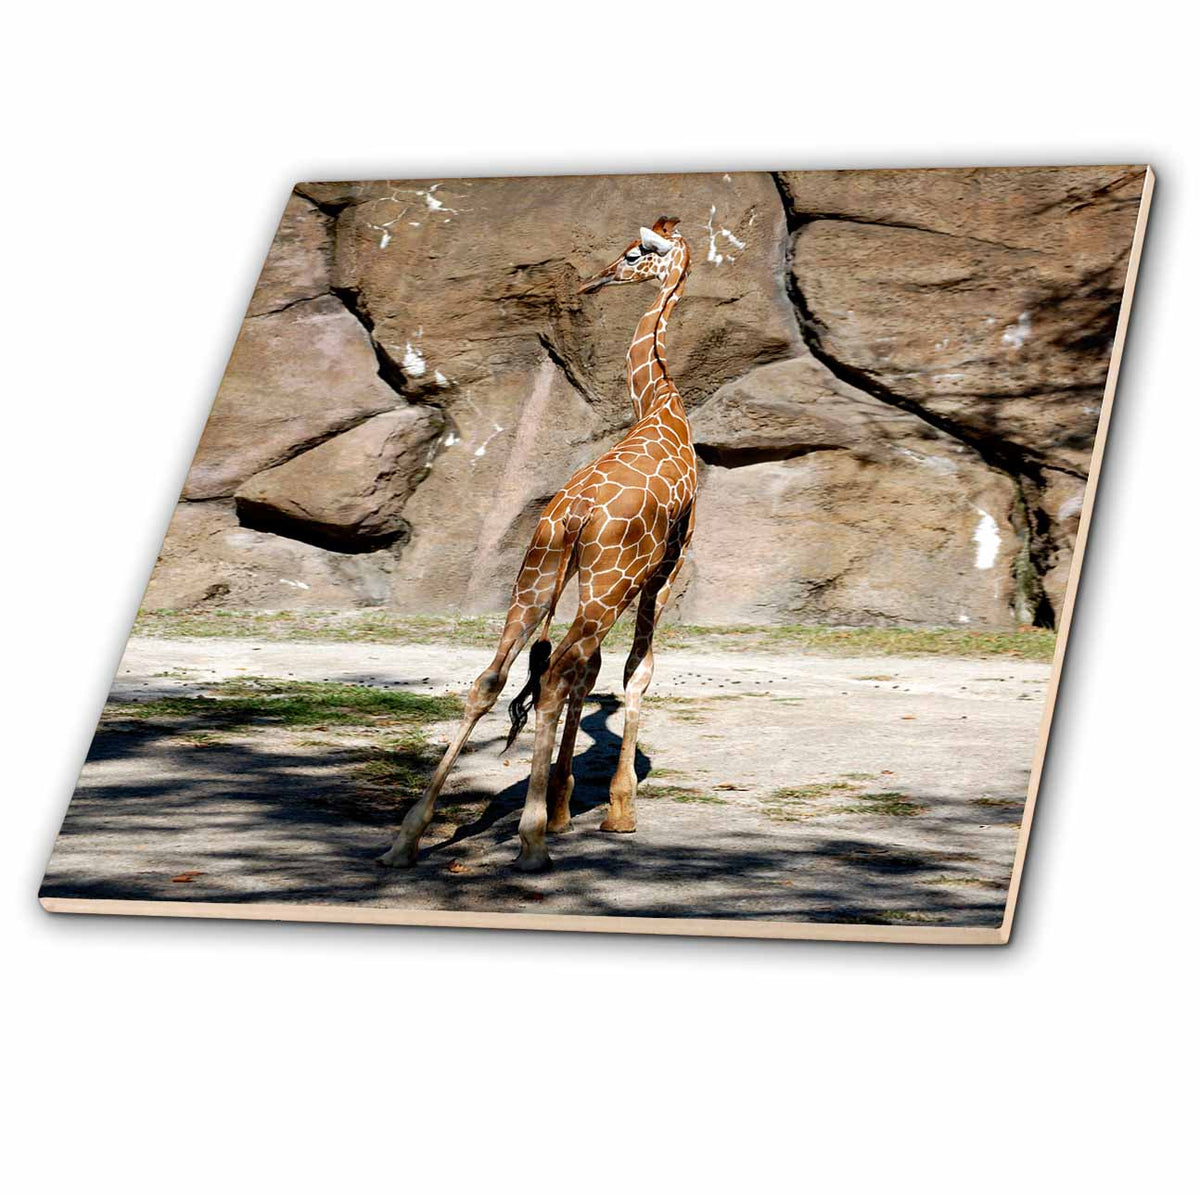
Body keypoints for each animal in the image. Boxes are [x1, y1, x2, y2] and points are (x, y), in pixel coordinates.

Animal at [379, 216, 696, 872]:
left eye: (634, 254)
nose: (597, 279)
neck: (662, 406)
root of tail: (576, 514)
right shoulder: (668, 566)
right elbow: (635, 671)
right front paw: (614, 812)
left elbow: (588, 672)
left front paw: (564, 804)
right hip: (607, 585)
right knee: (554, 676)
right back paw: (530, 843)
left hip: (538, 574)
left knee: (493, 678)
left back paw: (407, 837)